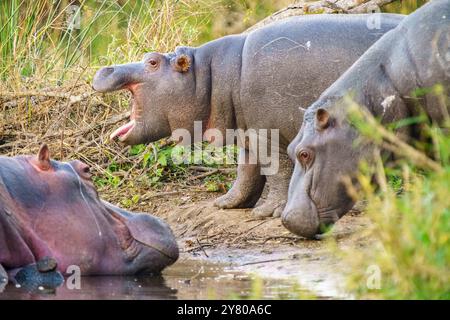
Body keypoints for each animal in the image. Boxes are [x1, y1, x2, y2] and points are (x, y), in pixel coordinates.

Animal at [93, 13, 402, 218]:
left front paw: (266, 212)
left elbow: (275, 170)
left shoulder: (268, 135)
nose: (105, 68)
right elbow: (247, 172)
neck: (210, 76)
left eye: (153, 61)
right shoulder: (249, 135)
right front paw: (226, 203)